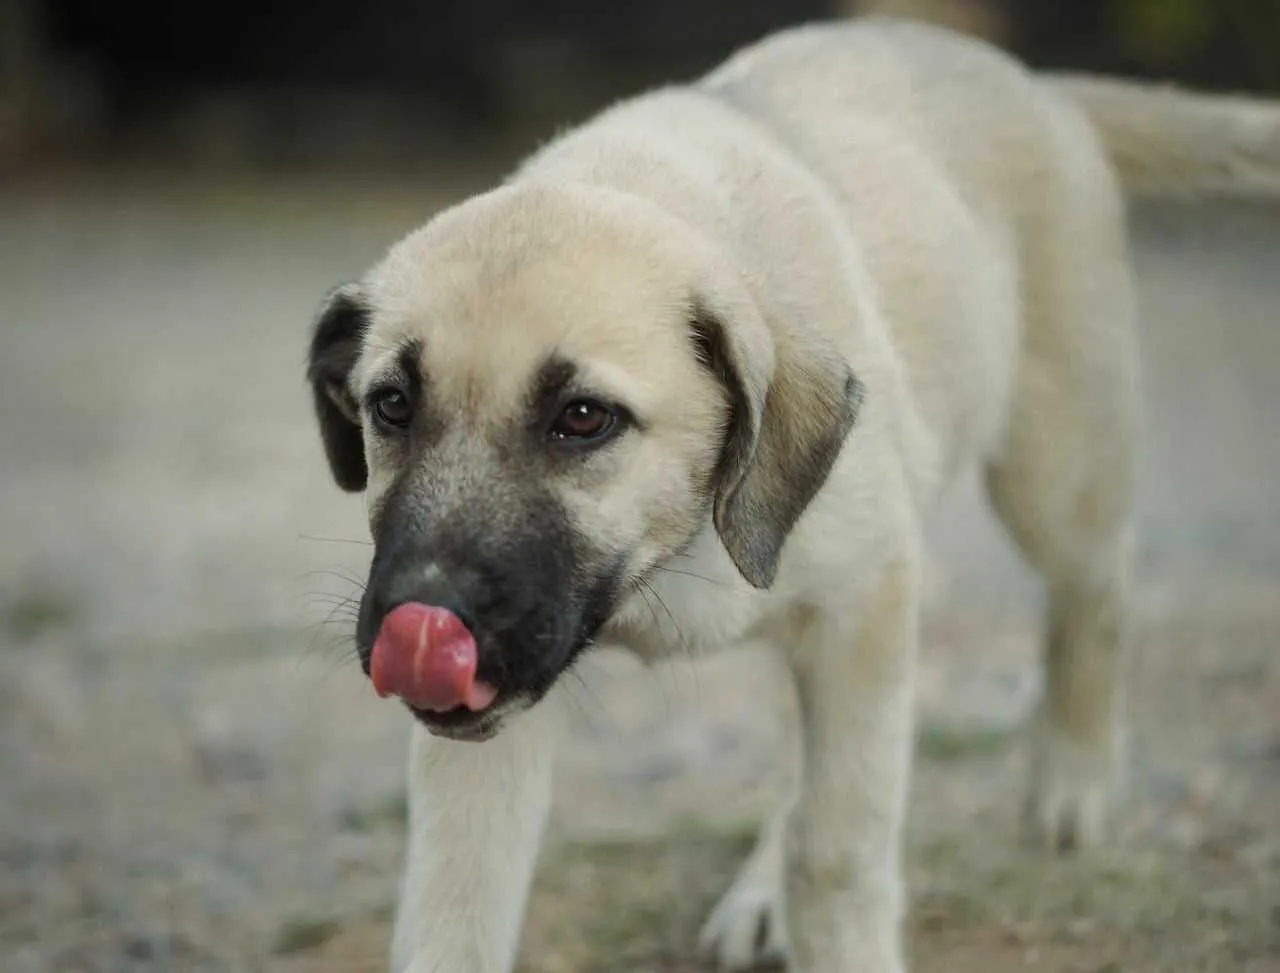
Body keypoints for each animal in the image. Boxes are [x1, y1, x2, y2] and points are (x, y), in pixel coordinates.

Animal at [302, 17, 1280, 973]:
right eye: (391, 405)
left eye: (583, 418)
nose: (424, 618)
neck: (675, 546)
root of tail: (1036, 86)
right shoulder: (496, 723)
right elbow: (457, 899)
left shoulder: (864, 605)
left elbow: (838, 847)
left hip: (1057, 466)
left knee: (1098, 595)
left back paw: (1075, 782)